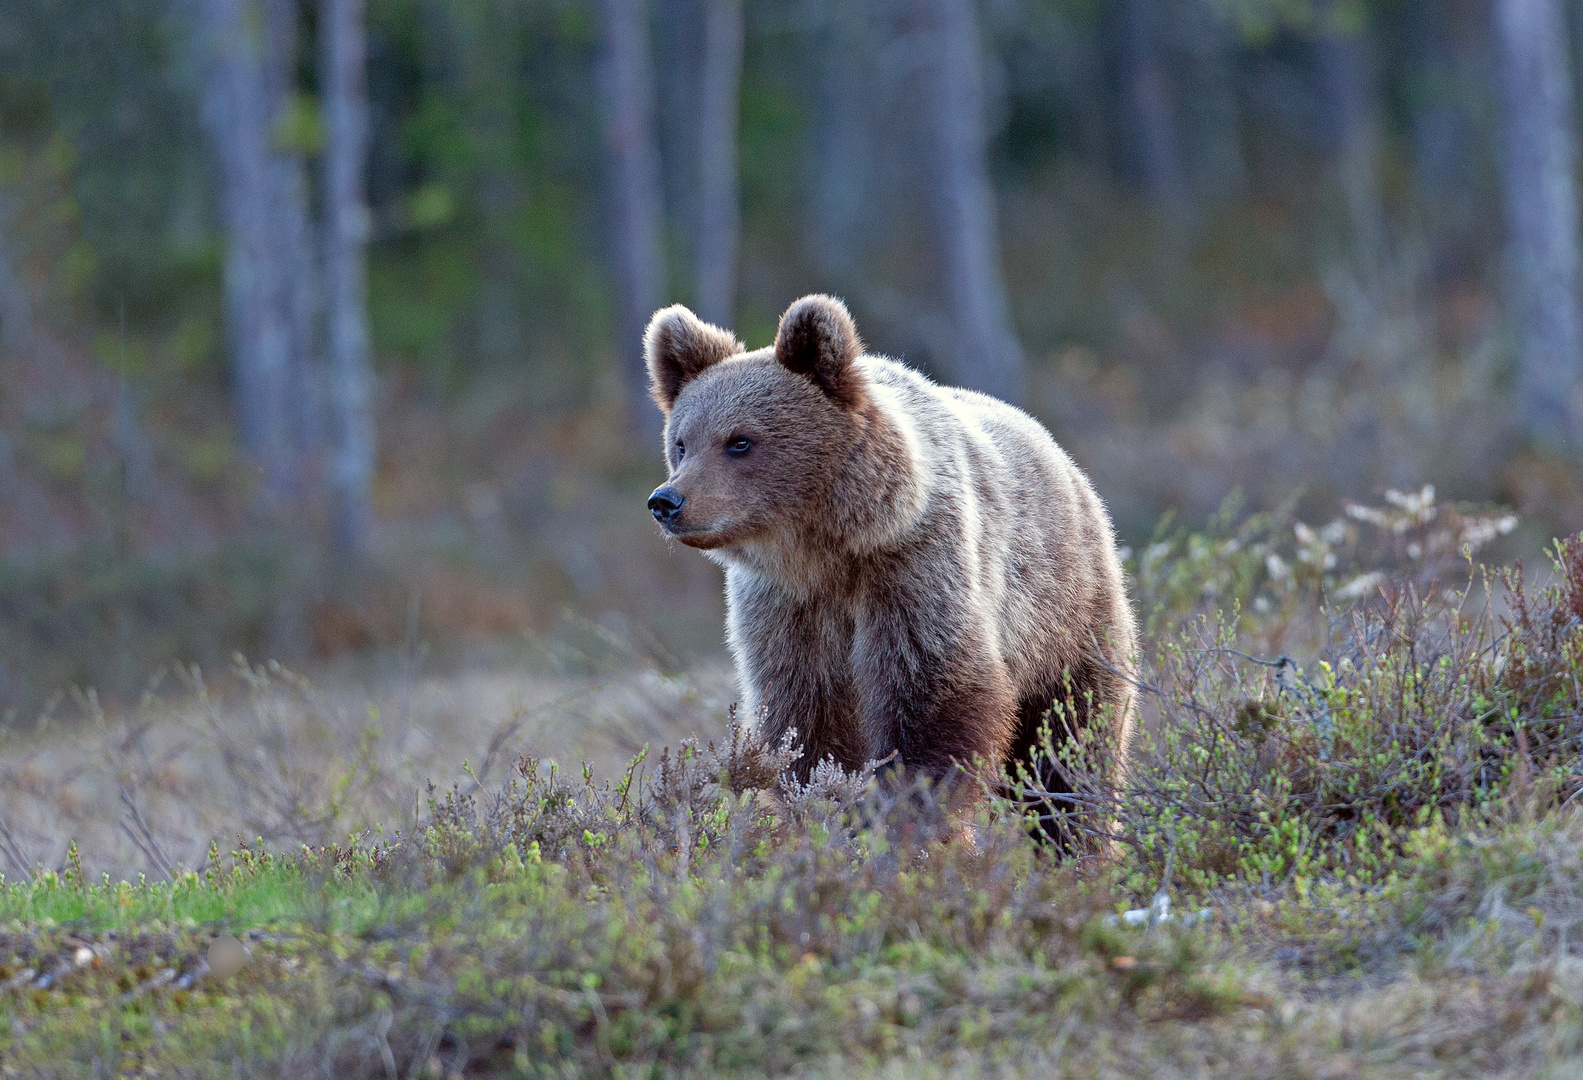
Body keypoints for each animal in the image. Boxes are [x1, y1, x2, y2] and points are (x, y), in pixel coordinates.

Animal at [642, 289, 1139, 817]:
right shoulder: (785, 607)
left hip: (1065, 618)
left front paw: (904, 811)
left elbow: (933, 700)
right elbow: (805, 720)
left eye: (739, 440)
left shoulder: (914, 570)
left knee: (1069, 744)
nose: (666, 501)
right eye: (681, 443)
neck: (827, 551)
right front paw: (826, 801)